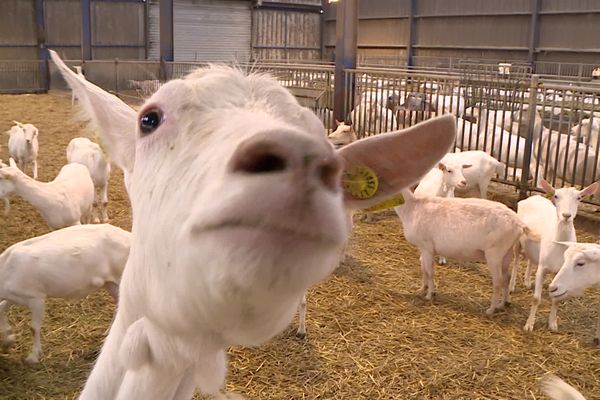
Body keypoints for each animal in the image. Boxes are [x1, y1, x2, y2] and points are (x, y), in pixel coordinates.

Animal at [0, 223, 130, 364]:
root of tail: (128, 236)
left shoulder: (37, 297)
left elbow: (34, 327)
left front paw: (33, 357)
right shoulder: (16, 296)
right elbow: (1, 308)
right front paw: (8, 340)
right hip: (109, 283)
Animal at [394, 189, 536, 314]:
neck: (412, 208)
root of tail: (519, 223)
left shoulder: (427, 247)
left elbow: (429, 272)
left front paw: (430, 295)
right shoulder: (422, 248)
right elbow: (423, 269)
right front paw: (422, 289)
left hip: (494, 253)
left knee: (498, 282)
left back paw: (491, 309)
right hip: (507, 253)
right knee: (507, 277)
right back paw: (504, 303)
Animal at [516, 180, 596, 332]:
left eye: (579, 198)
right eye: (556, 196)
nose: (566, 215)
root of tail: (534, 196)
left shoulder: (561, 272)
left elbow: (557, 299)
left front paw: (552, 324)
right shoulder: (542, 268)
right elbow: (536, 298)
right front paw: (529, 325)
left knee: (530, 260)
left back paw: (527, 281)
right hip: (517, 241)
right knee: (515, 262)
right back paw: (511, 287)